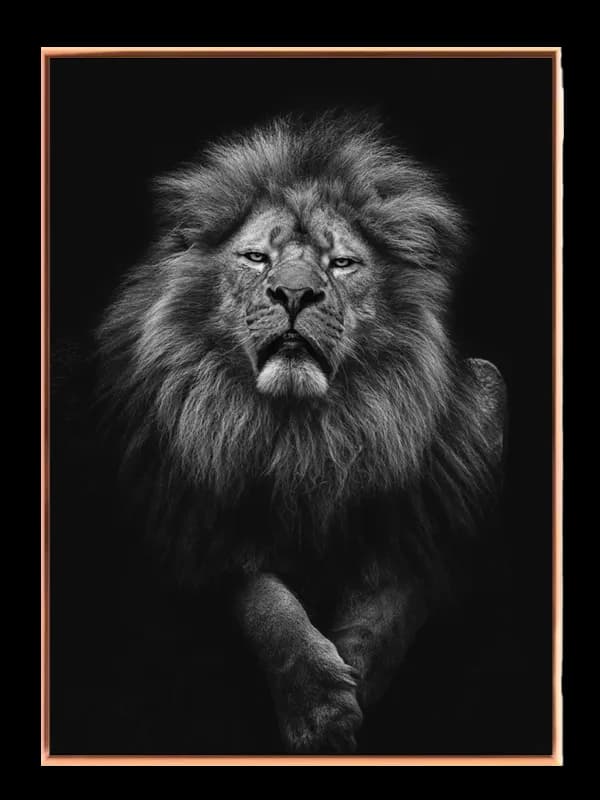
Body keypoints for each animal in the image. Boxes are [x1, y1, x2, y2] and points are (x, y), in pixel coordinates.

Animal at [96, 111, 506, 754]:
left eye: (341, 264)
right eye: (256, 258)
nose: (293, 293)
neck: (304, 432)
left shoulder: (433, 512)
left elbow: (393, 602)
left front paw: (354, 681)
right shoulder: (197, 519)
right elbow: (265, 602)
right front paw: (318, 706)